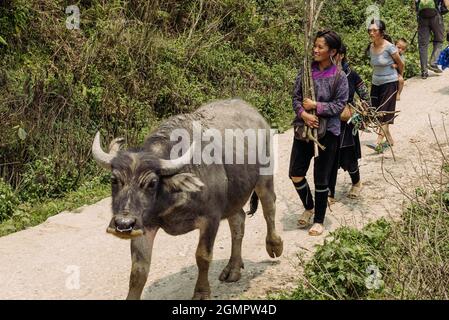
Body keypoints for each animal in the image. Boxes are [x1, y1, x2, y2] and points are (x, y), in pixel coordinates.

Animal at [91, 98, 282, 300]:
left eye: (152, 182)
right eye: (114, 180)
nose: (123, 224)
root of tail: (256, 115)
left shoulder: (210, 218)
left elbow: (203, 256)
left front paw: (201, 292)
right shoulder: (144, 225)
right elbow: (138, 271)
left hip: (265, 177)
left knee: (269, 208)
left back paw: (274, 245)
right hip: (233, 197)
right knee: (238, 221)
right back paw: (233, 268)